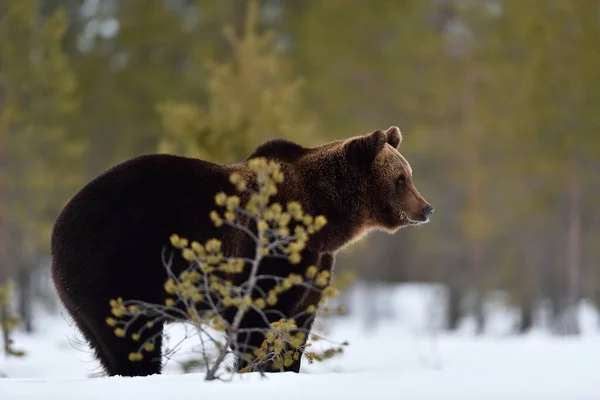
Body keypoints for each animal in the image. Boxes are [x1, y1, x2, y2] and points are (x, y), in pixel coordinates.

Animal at [50, 126, 432, 376]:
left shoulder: (315, 266)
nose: (426, 208)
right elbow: (255, 318)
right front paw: (254, 368)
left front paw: (286, 367)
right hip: (117, 263)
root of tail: (60, 223)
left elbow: (297, 322)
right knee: (130, 335)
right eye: (401, 178)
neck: (322, 219)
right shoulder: (266, 250)